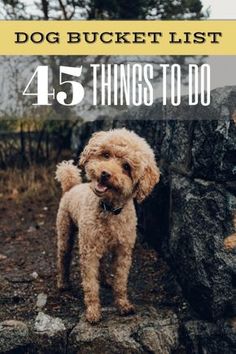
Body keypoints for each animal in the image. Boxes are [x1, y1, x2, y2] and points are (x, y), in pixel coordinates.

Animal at [55, 128, 159, 324]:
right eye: (105, 155)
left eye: (126, 167)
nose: (104, 173)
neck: (109, 209)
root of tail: (71, 186)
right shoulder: (88, 251)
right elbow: (90, 284)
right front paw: (93, 312)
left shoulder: (123, 252)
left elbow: (120, 281)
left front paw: (123, 305)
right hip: (65, 232)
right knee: (63, 258)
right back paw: (63, 283)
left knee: (101, 263)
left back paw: (104, 280)